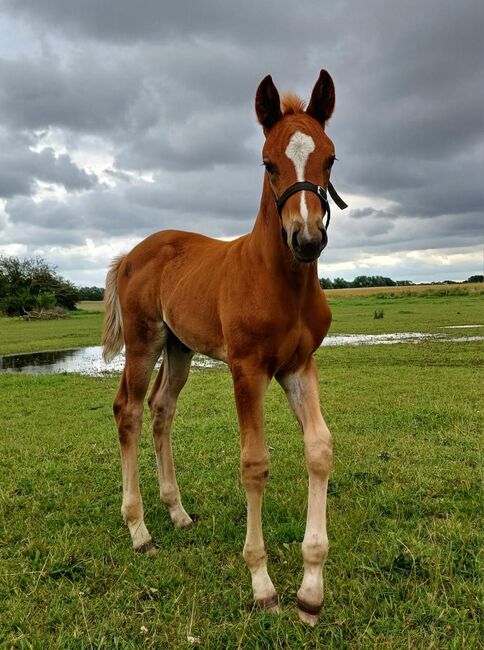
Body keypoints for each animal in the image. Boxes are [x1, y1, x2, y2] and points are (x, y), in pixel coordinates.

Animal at [102, 71, 346, 624]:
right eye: (268, 162)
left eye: (329, 158)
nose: (307, 240)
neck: (279, 281)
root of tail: (132, 253)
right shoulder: (246, 369)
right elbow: (254, 463)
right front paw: (262, 584)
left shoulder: (300, 366)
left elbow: (319, 449)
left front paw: (311, 589)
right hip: (145, 341)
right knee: (128, 409)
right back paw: (139, 530)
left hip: (179, 348)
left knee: (161, 409)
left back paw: (177, 512)